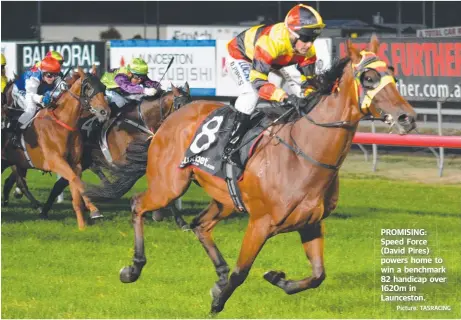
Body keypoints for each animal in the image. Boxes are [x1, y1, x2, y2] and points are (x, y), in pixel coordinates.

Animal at [1, 69, 110, 230]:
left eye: (103, 87)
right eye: (88, 87)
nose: (105, 111)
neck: (63, 124)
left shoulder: (75, 164)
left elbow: (76, 183)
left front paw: (84, 222)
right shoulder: (56, 161)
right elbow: (75, 180)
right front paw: (93, 209)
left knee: (19, 181)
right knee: (21, 182)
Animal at [88, 35, 416, 312]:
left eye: (393, 74)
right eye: (369, 78)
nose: (408, 118)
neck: (303, 154)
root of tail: (167, 121)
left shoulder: (310, 223)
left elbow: (318, 275)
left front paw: (276, 278)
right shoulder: (260, 224)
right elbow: (241, 272)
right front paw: (218, 300)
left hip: (225, 199)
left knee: (200, 225)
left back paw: (217, 272)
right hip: (168, 185)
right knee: (139, 205)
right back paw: (133, 268)